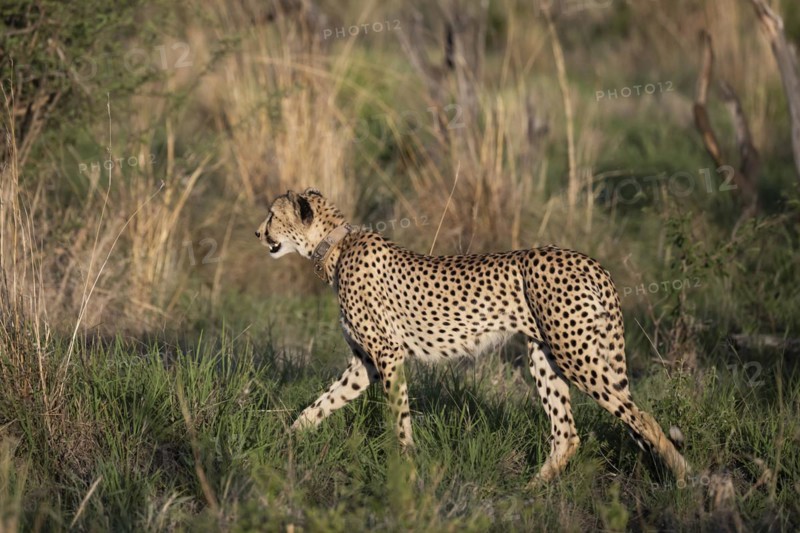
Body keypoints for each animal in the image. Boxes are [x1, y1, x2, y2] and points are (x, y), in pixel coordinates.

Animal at [255, 188, 689, 482]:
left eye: (273, 215)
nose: (258, 233)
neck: (334, 246)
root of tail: (589, 260)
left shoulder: (387, 354)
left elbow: (398, 417)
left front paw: (406, 466)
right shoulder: (365, 364)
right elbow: (319, 406)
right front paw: (286, 443)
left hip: (575, 356)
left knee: (640, 417)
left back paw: (684, 479)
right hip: (544, 356)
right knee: (567, 434)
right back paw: (528, 492)